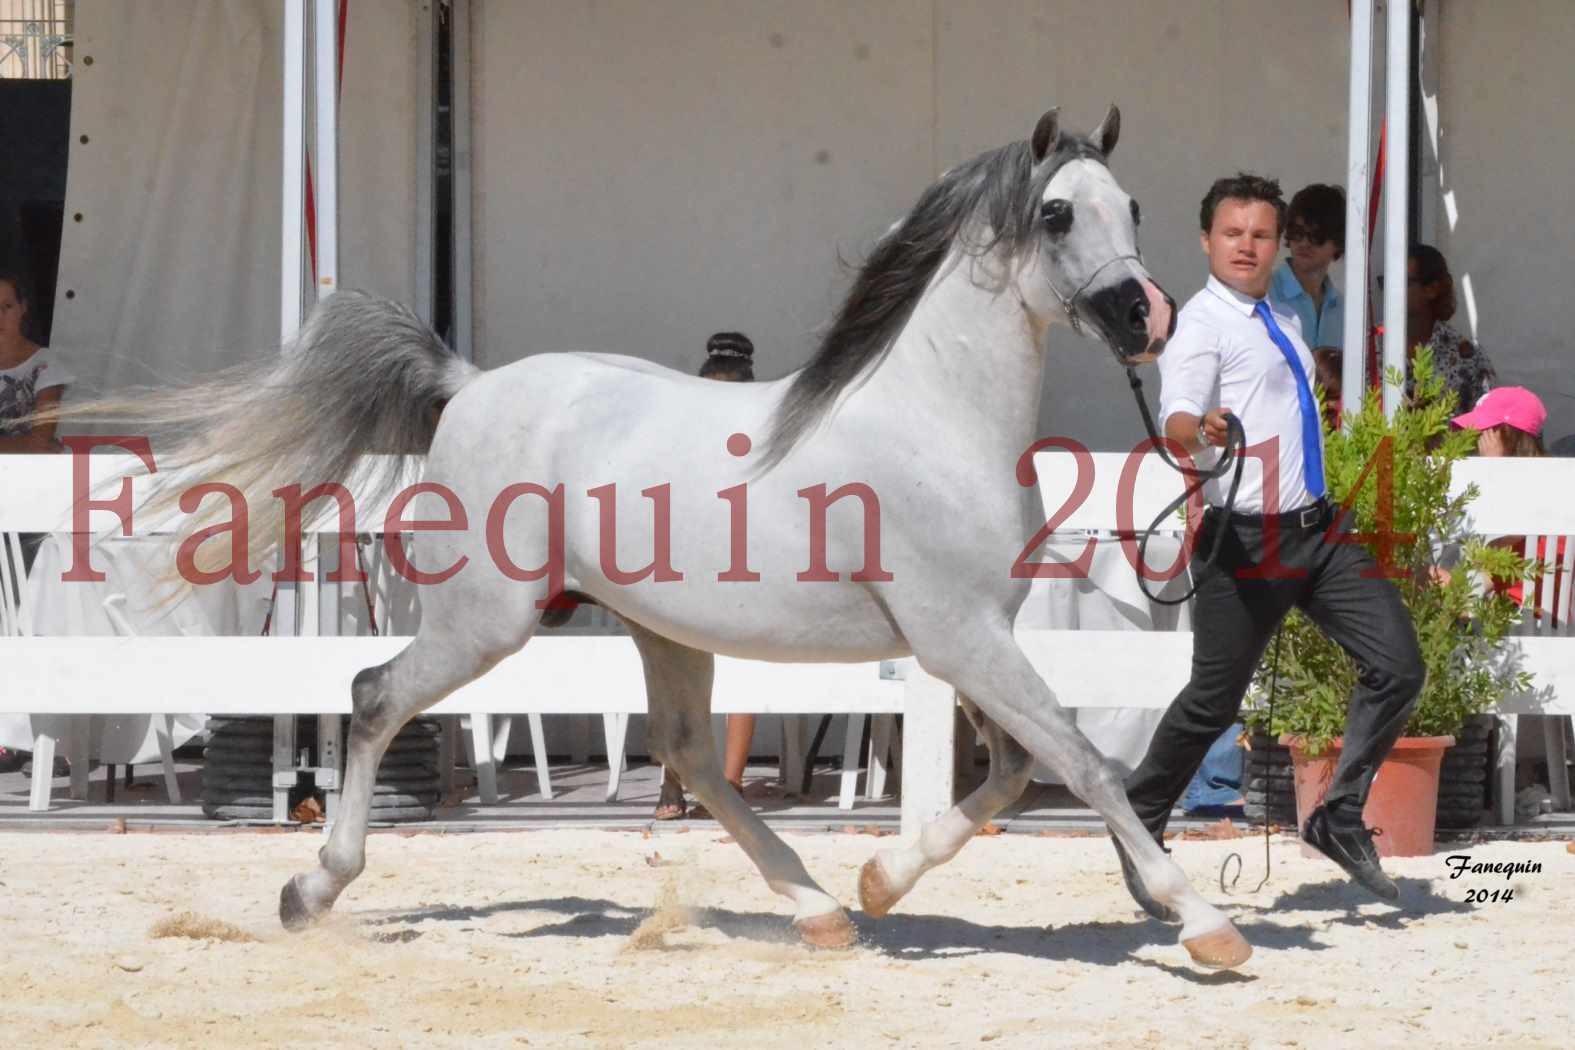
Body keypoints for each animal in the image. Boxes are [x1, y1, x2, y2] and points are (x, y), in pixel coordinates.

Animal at [83, 107, 1241, 969]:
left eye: (1132, 206)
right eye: (1056, 212)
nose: (1144, 318)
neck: (932, 415)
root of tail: (469, 385)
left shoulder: (969, 642)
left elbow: (1011, 774)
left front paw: (881, 879)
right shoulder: (960, 637)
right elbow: (1083, 765)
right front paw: (1204, 925)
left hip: (660, 628)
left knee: (688, 752)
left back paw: (822, 908)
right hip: (487, 619)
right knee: (373, 697)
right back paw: (308, 889)